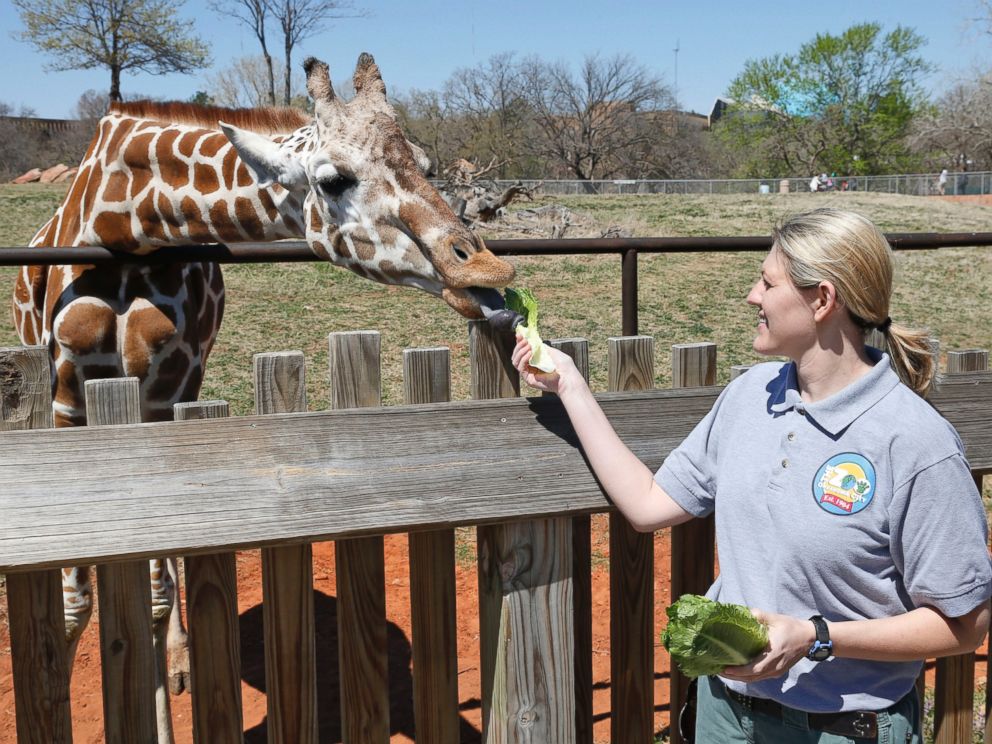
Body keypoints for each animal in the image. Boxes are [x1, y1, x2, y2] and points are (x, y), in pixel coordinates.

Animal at [13, 52, 520, 744]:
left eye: (425, 161)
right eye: (333, 179)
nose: (485, 270)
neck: (129, 227)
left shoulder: (167, 387)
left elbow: (154, 591)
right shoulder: (65, 399)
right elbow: (73, 606)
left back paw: (181, 664)